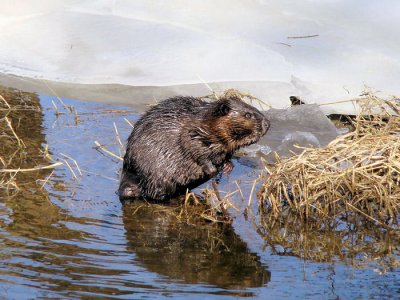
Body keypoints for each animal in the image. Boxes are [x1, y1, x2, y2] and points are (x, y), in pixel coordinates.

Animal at [117, 95, 270, 200]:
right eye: (248, 114)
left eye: (254, 109)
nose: (267, 124)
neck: (205, 122)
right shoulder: (192, 134)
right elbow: (195, 150)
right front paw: (213, 170)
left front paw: (227, 166)